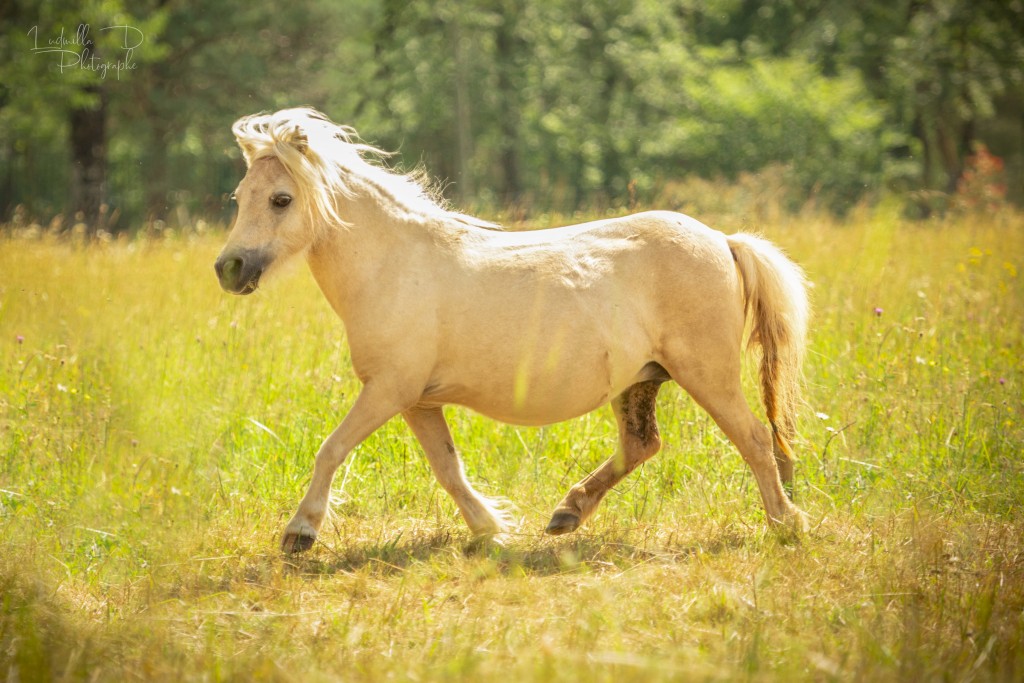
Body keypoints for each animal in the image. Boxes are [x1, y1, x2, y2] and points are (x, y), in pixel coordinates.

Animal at [214, 108, 806, 557]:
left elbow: (331, 449)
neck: (392, 265)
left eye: (282, 199)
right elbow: (448, 468)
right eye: (239, 196)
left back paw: (786, 524)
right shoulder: (418, 400)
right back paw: (566, 514)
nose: (229, 269)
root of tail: (724, 240)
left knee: (755, 440)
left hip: (707, 374)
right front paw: (490, 530)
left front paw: (299, 533)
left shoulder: (389, 390)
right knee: (642, 445)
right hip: (641, 379)